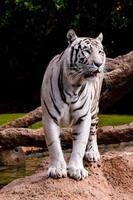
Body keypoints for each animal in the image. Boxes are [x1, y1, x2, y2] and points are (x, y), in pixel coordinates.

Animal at [41, 29, 105, 181]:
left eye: (100, 52)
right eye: (87, 51)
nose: (99, 64)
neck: (74, 85)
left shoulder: (83, 118)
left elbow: (80, 144)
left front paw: (77, 170)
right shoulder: (49, 117)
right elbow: (54, 144)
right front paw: (57, 169)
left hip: (94, 109)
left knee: (93, 131)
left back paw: (92, 153)